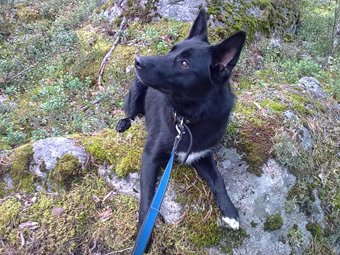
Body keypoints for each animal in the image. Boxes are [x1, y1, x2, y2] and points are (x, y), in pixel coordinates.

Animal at [116, 8, 244, 233]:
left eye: (184, 63)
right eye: (171, 50)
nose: (137, 60)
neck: (188, 120)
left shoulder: (200, 155)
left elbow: (218, 180)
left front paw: (230, 212)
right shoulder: (150, 157)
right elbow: (147, 198)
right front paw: (144, 231)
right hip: (137, 89)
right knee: (131, 113)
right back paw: (123, 123)